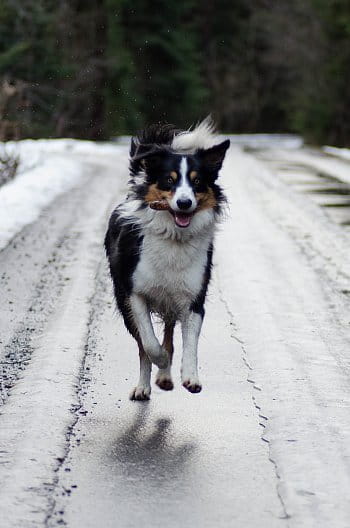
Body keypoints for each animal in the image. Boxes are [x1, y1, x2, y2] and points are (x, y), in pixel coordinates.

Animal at [104, 117, 230, 400]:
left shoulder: (193, 298)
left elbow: (189, 343)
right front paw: (160, 363)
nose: (184, 203)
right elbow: (149, 345)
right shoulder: (134, 294)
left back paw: (164, 376)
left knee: (170, 333)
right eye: (169, 181)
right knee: (144, 345)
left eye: (197, 182)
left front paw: (190, 377)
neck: (174, 237)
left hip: (172, 298)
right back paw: (145, 385)